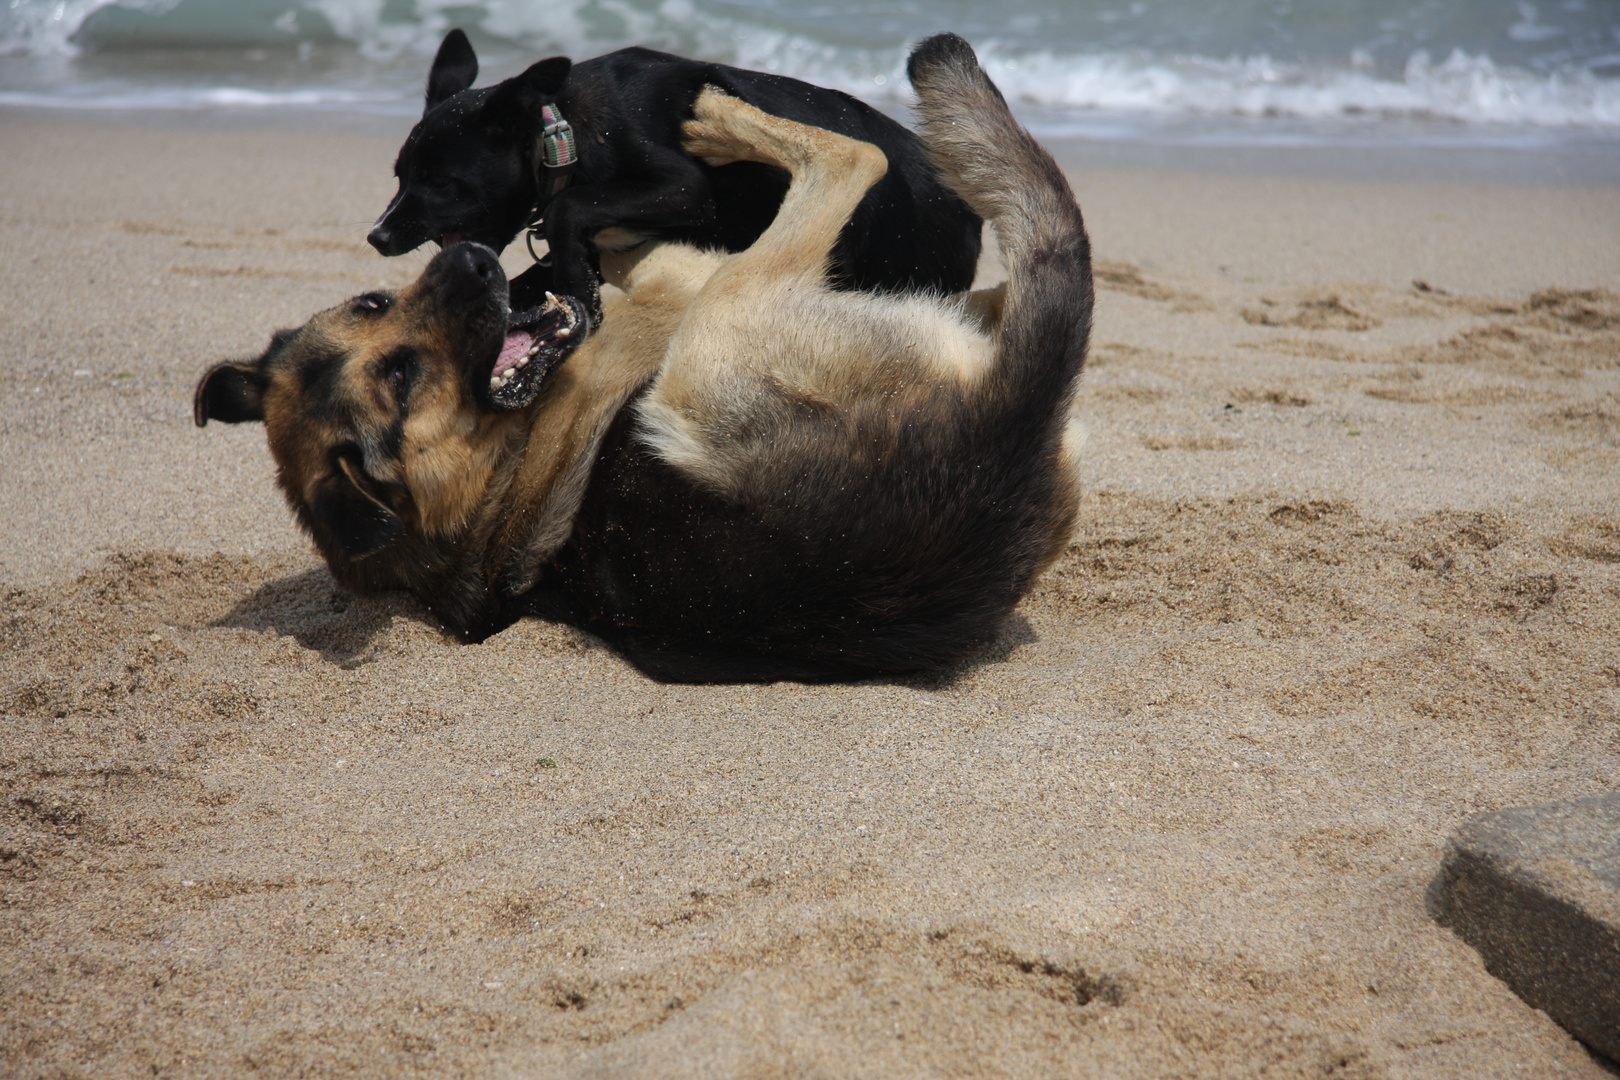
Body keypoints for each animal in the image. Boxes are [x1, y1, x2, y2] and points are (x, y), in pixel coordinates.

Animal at [366, 27, 978, 318]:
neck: (564, 134)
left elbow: (567, 208)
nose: (377, 237)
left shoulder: (686, 189)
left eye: (441, 182)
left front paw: (577, 292)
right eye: (399, 176)